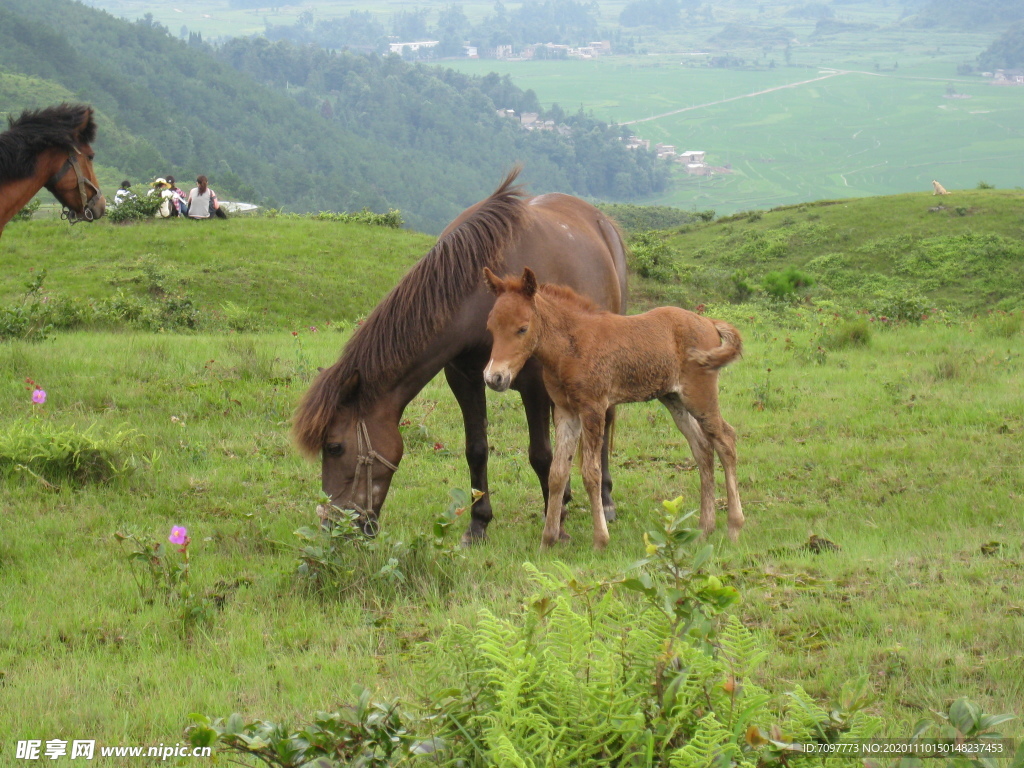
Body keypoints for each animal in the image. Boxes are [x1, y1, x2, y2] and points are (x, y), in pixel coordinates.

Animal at [292, 169, 626, 540]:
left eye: (335, 447)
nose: (331, 528)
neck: (480, 299)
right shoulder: (464, 378)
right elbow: (476, 450)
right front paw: (479, 523)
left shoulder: (534, 385)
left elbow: (541, 454)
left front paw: (557, 525)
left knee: (604, 421)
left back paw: (605, 500)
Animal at [483, 268, 741, 548]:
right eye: (490, 327)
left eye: (522, 328)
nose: (494, 378)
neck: (570, 346)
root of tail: (710, 322)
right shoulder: (566, 411)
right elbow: (557, 473)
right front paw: (548, 540)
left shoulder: (593, 407)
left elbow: (591, 473)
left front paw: (600, 539)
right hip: (674, 399)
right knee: (702, 448)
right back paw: (704, 528)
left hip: (700, 395)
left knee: (726, 440)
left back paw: (734, 527)